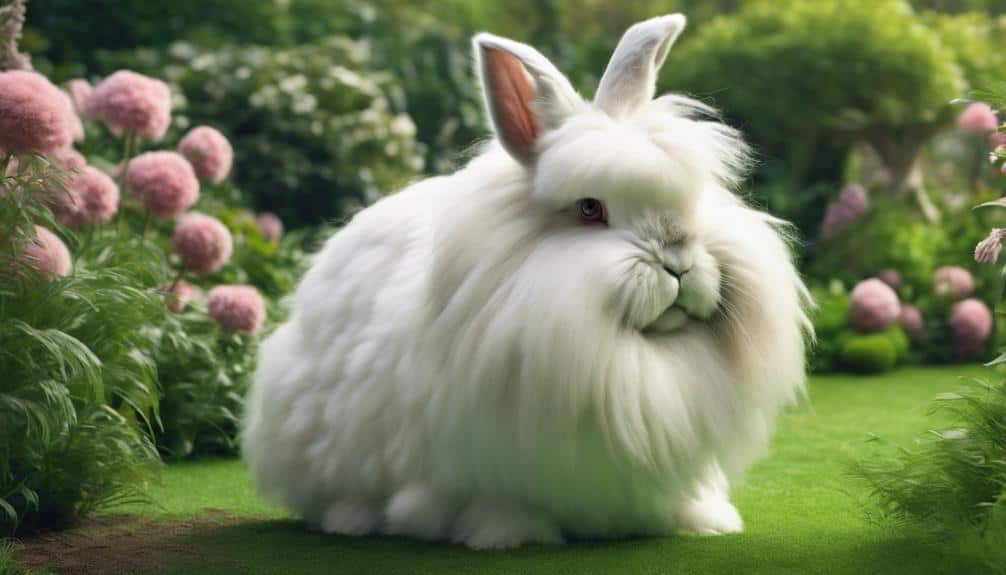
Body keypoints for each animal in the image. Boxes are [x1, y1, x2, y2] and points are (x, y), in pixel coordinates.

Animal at [242, 13, 812, 549]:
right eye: (589, 208)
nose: (678, 262)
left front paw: (703, 521)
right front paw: (509, 534)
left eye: (693, 198)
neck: (628, 357)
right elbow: (500, 501)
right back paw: (352, 520)